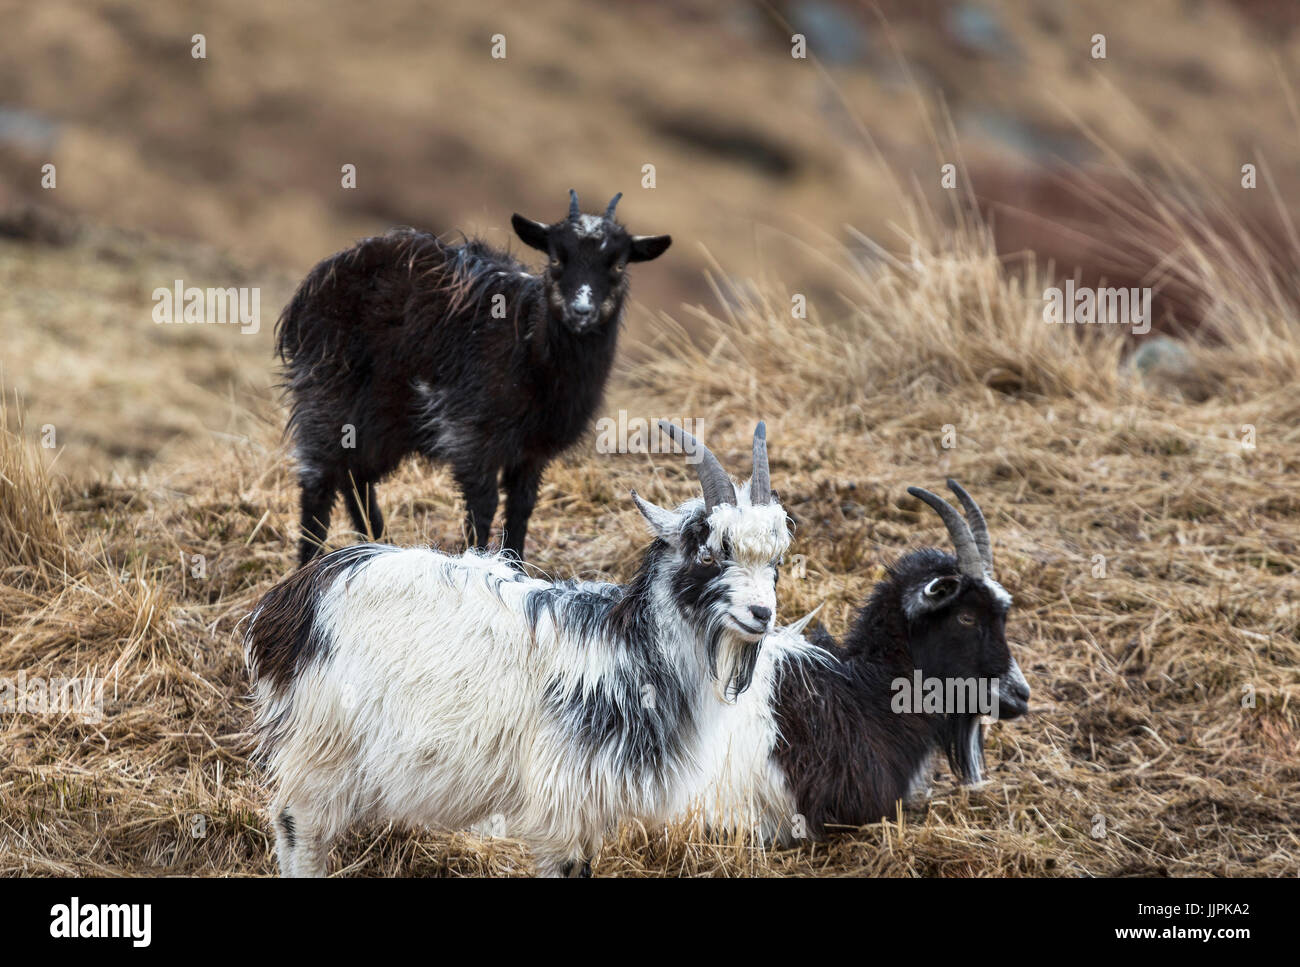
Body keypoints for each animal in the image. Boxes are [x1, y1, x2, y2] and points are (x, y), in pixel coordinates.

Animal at [243, 421, 789, 876]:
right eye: (709, 553)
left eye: (777, 561)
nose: (762, 613)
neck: (628, 652)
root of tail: (289, 600)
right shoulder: (561, 802)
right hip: (324, 742)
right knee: (297, 826)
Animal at [276, 190, 671, 566]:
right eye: (557, 258)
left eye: (618, 264)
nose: (582, 311)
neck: (531, 350)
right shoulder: (470, 435)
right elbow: (483, 507)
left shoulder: (532, 451)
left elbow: (521, 507)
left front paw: (517, 568)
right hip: (328, 393)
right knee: (319, 480)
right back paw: (309, 563)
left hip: (384, 422)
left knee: (356, 478)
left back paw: (375, 546)